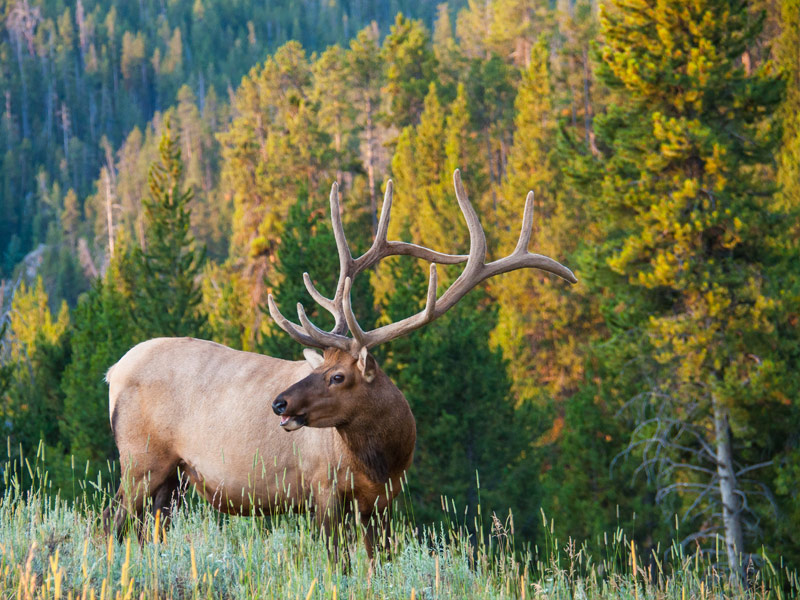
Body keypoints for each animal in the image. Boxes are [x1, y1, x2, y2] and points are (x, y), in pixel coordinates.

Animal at [106, 169, 580, 556]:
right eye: (316, 371)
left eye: (336, 375)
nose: (279, 403)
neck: (382, 459)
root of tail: (113, 372)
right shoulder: (322, 488)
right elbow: (338, 563)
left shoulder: (383, 502)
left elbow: (376, 562)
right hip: (139, 459)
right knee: (116, 524)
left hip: (174, 478)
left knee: (151, 531)